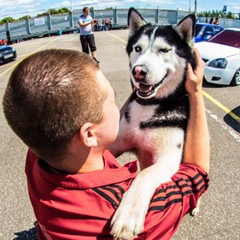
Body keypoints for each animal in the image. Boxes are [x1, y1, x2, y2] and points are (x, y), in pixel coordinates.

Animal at [110, 7, 197, 238]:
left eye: (164, 50)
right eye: (137, 48)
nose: (138, 71)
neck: (150, 105)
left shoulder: (169, 159)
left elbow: (144, 175)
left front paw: (128, 215)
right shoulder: (117, 142)